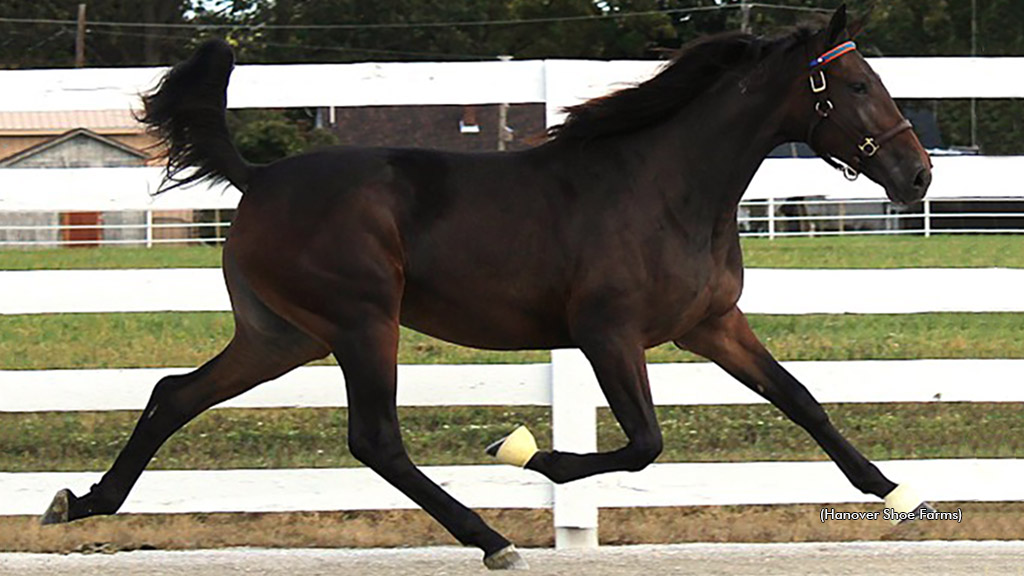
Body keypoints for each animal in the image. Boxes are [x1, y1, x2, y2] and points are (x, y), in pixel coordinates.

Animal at [41, 5, 933, 570]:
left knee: (173, 395)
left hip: (281, 335)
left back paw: (81, 502)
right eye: (856, 86)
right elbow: (644, 443)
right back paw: (492, 539)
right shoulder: (608, 334)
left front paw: (896, 493)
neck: (664, 186)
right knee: (375, 439)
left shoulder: (711, 324)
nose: (918, 175)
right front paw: (531, 456)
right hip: (362, 323)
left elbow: (801, 399)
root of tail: (257, 178)